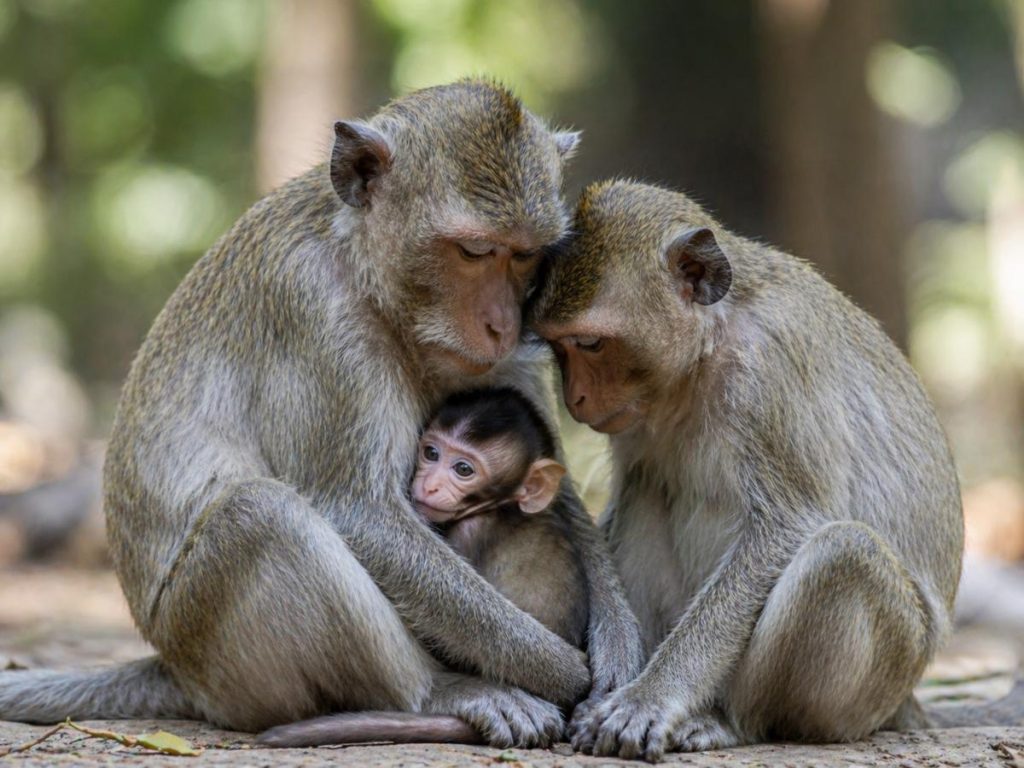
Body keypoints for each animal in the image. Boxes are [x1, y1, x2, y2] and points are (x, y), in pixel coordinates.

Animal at [528, 179, 1023, 760]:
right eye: (558, 347)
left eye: (590, 343)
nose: (575, 398)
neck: (707, 349)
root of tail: (906, 699)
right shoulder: (637, 418)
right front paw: (611, 666)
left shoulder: (768, 375)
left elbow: (784, 529)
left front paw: (648, 699)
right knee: (651, 495)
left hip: (885, 674)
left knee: (843, 553)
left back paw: (733, 721)